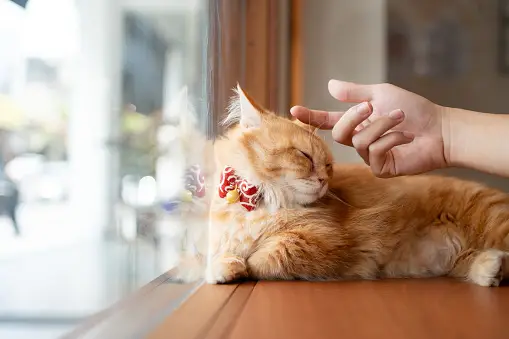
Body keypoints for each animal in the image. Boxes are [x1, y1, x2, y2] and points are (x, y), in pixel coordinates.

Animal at [205, 84, 508, 286]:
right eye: (305, 156)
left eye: (328, 165)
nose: (323, 181)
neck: (259, 201)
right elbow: (221, 254)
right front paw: (225, 265)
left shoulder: (323, 240)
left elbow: (267, 256)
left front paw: (241, 265)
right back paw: (490, 268)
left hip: (494, 219)